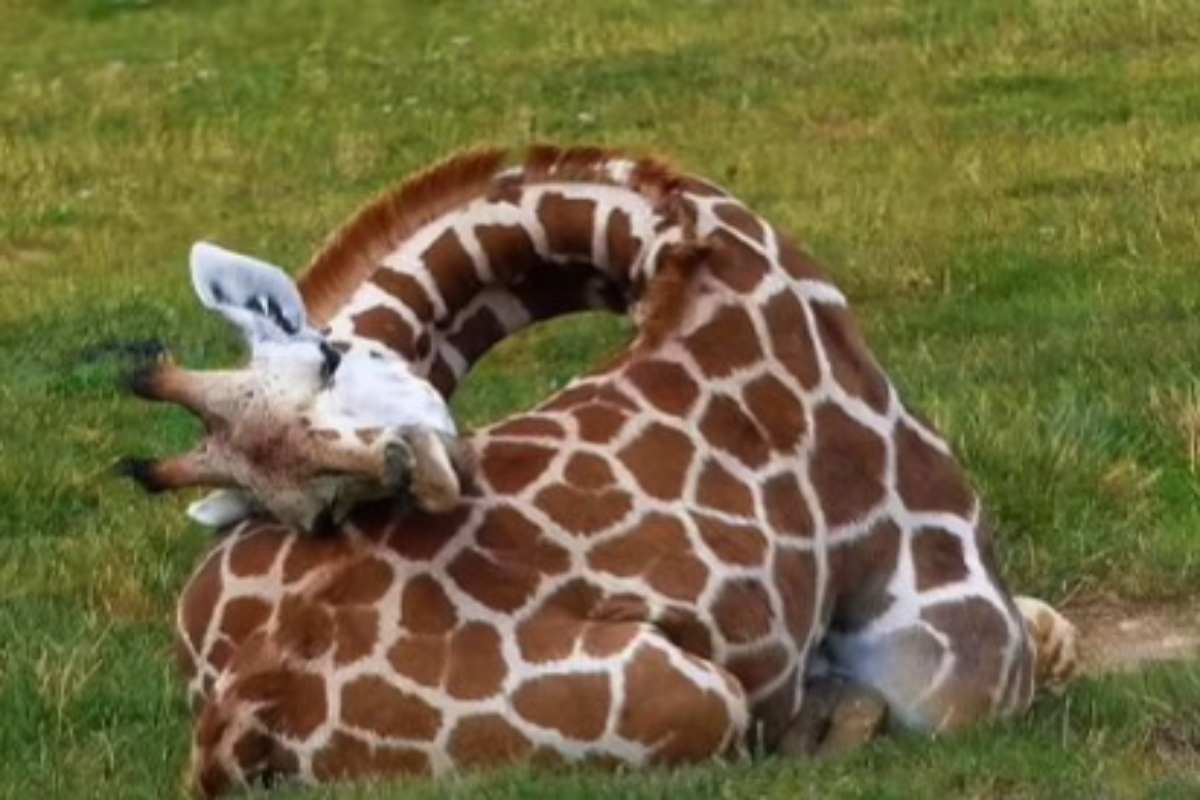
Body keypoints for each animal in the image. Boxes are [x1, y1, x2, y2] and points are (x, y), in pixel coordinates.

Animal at [125, 145, 1078, 795]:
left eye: (328, 361)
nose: (427, 475)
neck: (684, 251)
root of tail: (247, 706)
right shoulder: (961, 657)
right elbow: (1038, 644)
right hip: (701, 699)